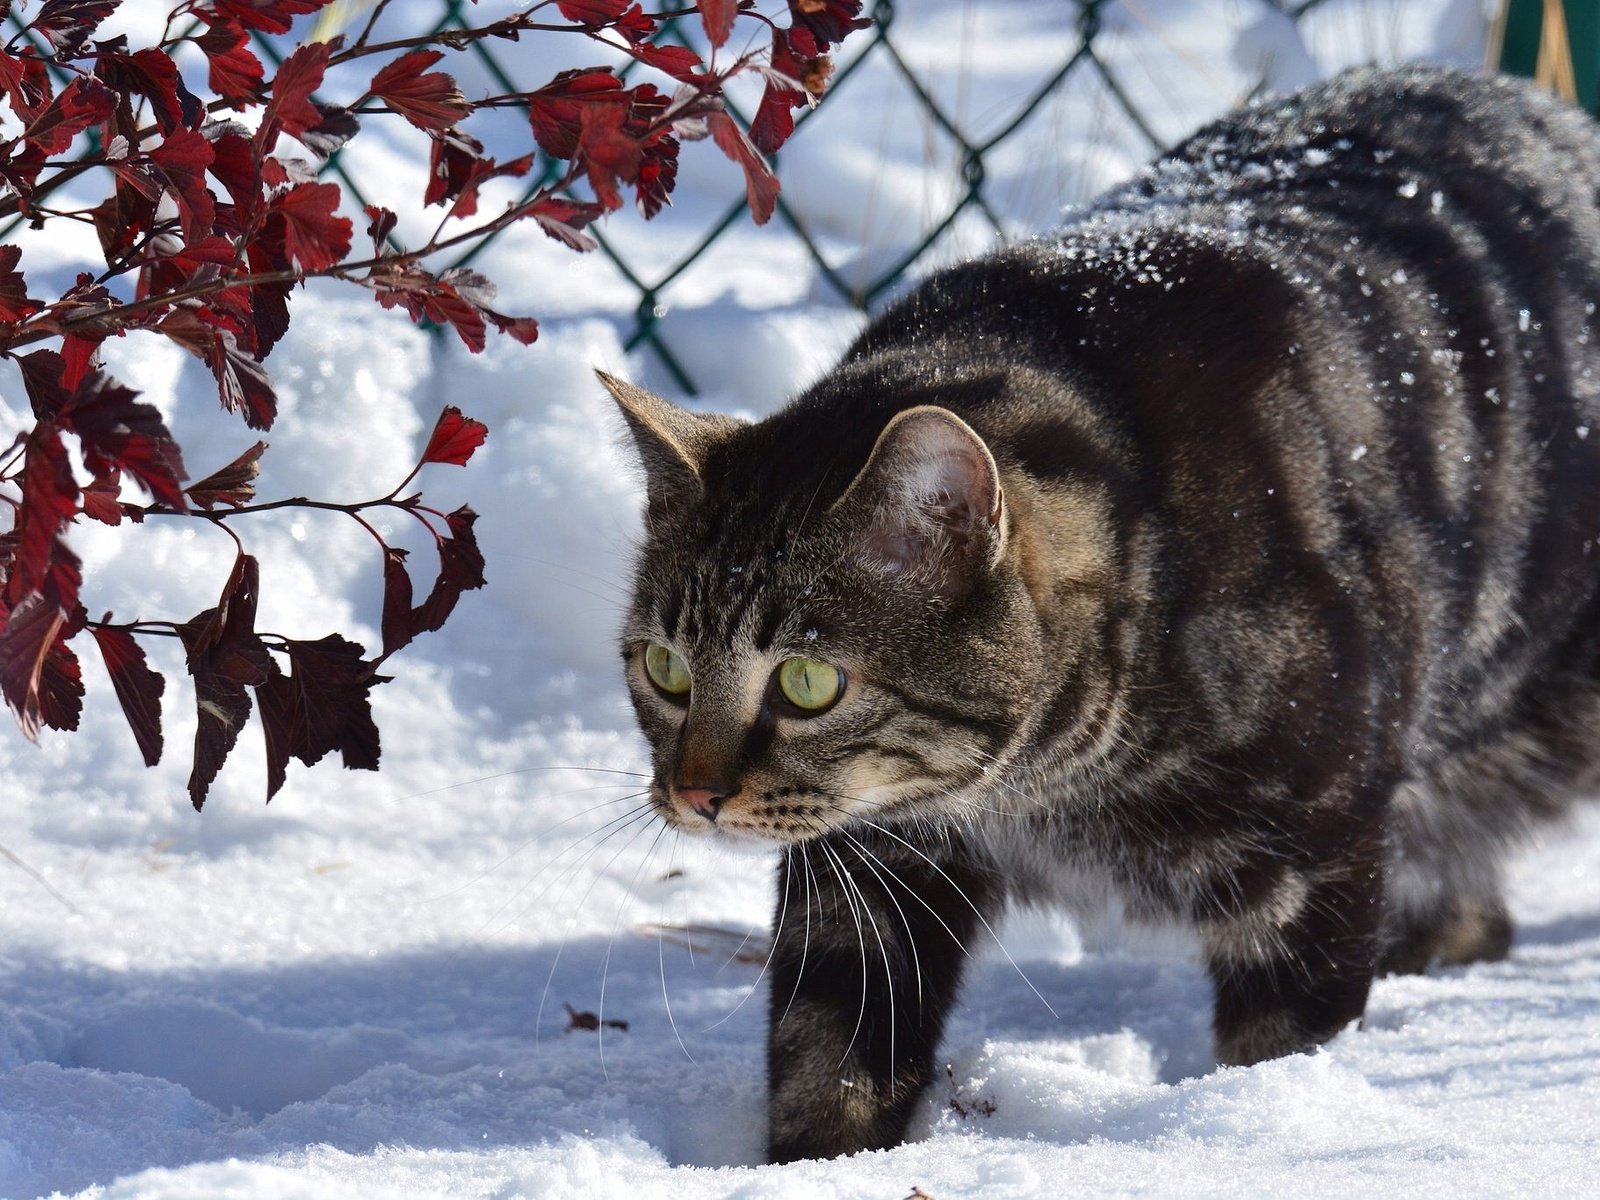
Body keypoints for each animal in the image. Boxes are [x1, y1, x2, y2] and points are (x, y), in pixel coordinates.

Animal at [604, 68, 1600, 1164]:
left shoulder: (1314, 855)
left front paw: (1258, 1128)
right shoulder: (867, 866)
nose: (694, 794)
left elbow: (1278, 1052)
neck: (1041, 788)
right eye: (663, 669)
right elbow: (828, 1052)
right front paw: (815, 1169)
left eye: (809, 682)